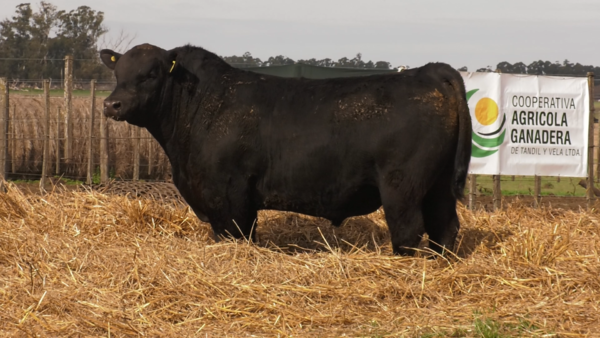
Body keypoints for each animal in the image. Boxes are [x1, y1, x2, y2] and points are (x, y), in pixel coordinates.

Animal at [101, 45, 472, 256]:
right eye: (117, 73)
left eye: (150, 74)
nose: (111, 104)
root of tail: (427, 71)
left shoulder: (230, 194)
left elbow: (237, 233)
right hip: (438, 185)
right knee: (445, 227)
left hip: (402, 187)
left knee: (409, 231)